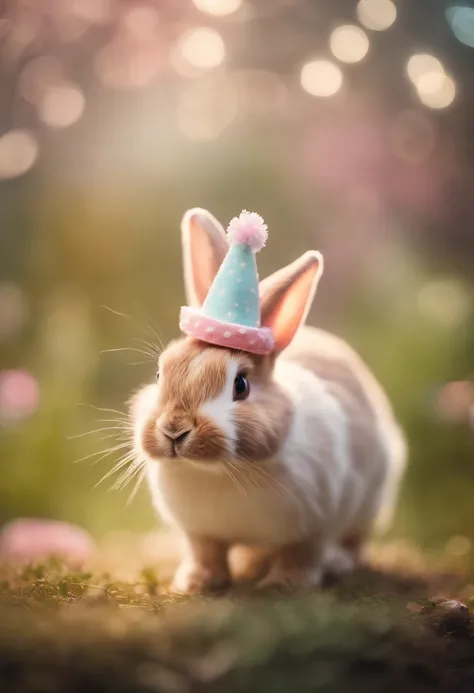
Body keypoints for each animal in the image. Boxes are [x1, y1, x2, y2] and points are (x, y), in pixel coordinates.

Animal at [131, 208, 406, 592]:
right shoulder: (200, 532)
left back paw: (336, 563)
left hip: (371, 500)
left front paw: (286, 585)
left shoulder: (314, 527)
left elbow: (302, 554)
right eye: (160, 374)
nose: (174, 430)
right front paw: (197, 582)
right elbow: (206, 551)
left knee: (354, 541)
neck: (222, 471)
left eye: (241, 385)